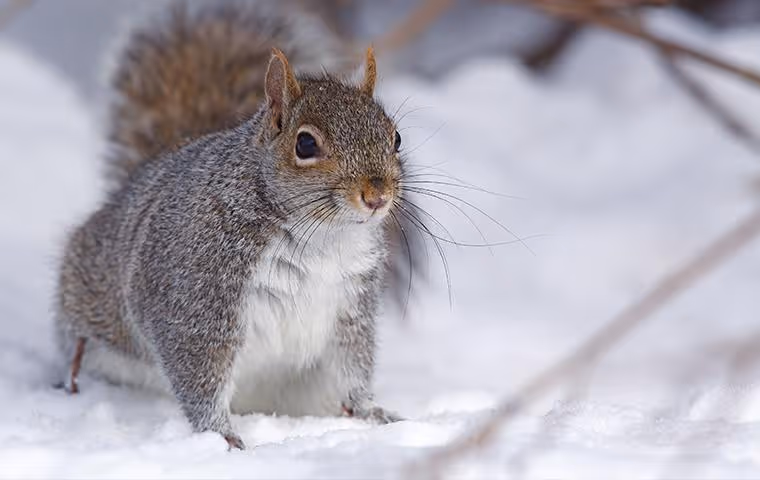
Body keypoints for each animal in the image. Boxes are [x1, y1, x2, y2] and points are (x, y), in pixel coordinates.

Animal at [55, 1, 405, 450]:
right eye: (306, 143)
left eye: (395, 137)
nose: (377, 195)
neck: (321, 236)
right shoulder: (196, 294)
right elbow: (199, 370)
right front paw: (221, 435)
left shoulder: (352, 304)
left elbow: (353, 366)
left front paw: (371, 413)